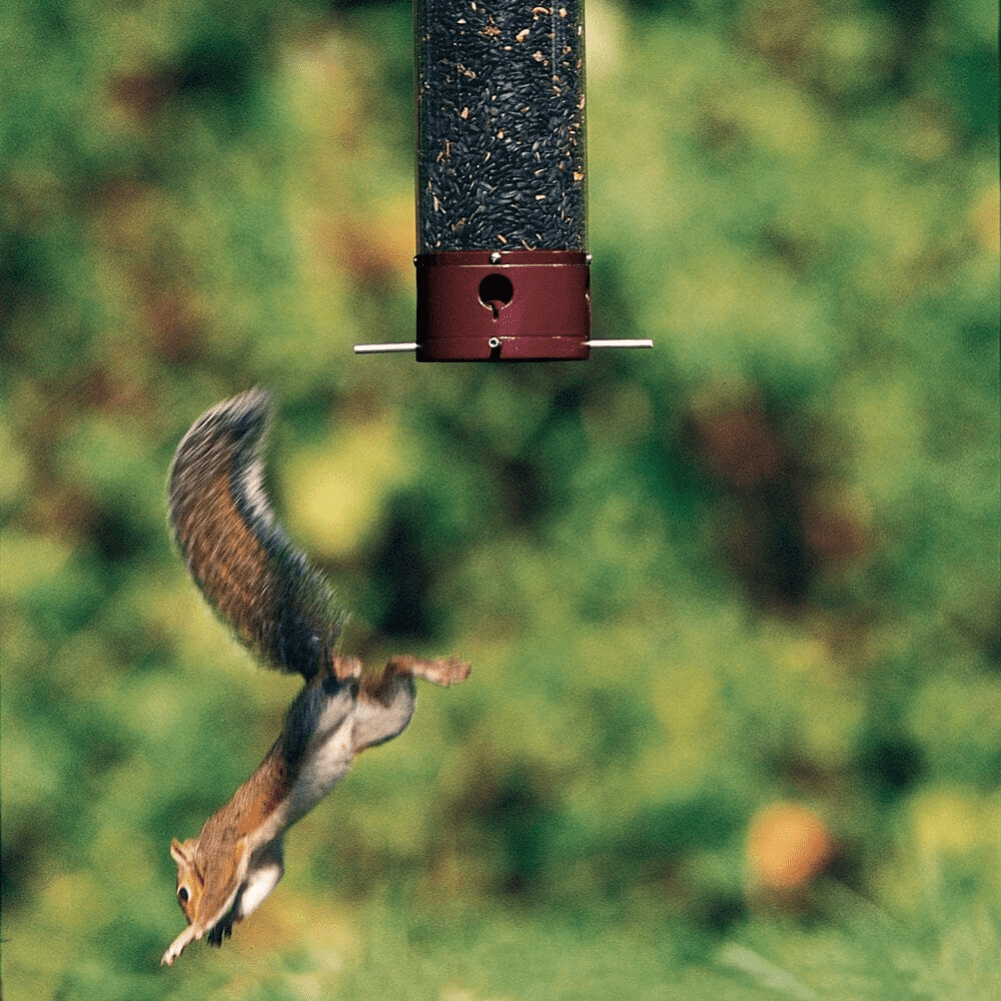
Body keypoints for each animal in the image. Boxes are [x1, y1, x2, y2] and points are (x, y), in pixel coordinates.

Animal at [161, 388, 470, 966]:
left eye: (183, 893)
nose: (188, 917)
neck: (213, 848)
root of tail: (322, 672)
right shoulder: (263, 858)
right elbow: (257, 889)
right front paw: (220, 928)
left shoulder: (229, 852)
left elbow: (224, 892)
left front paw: (188, 935)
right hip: (389, 715)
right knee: (392, 668)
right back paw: (440, 669)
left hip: (323, 713)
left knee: (378, 665)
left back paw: (442, 670)